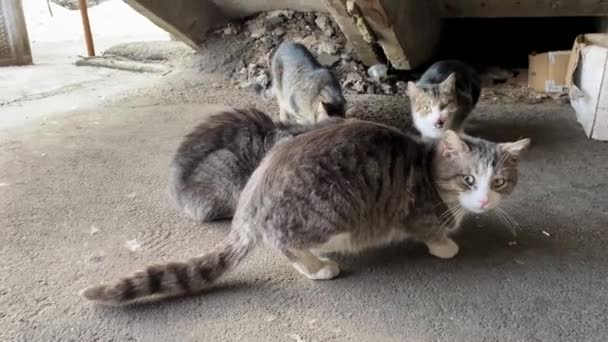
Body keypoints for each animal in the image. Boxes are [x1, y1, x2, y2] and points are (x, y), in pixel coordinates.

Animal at [79, 120, 528, 304]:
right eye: (469, 180)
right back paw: (318, 267)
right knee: (286, 244)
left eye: (499, 183)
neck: (428, 168)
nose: (485, 201)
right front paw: (445, 244)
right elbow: (430, 231)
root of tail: (252, 197)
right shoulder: (416, 212)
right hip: (330, 213)